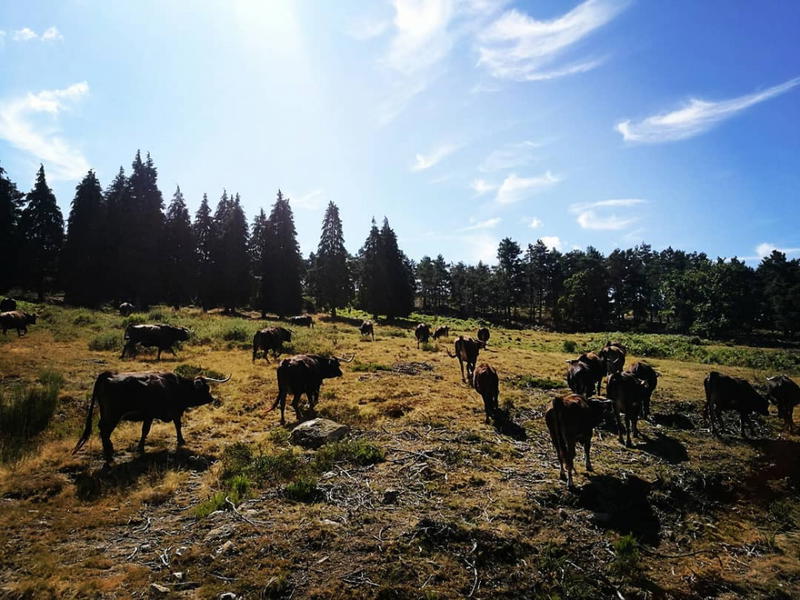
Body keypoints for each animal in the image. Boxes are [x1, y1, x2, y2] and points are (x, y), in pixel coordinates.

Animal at [72, 370, 230, 465]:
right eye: (205, 388)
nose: (212, 398)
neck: (175, 387)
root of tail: (108, 375)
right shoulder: (160, 414)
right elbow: (167, 427)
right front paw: (180, 440)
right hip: (113, 415)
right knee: (105, 431)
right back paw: (109, 455)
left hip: (106, 413)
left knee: (103, 430)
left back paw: (109, 452)